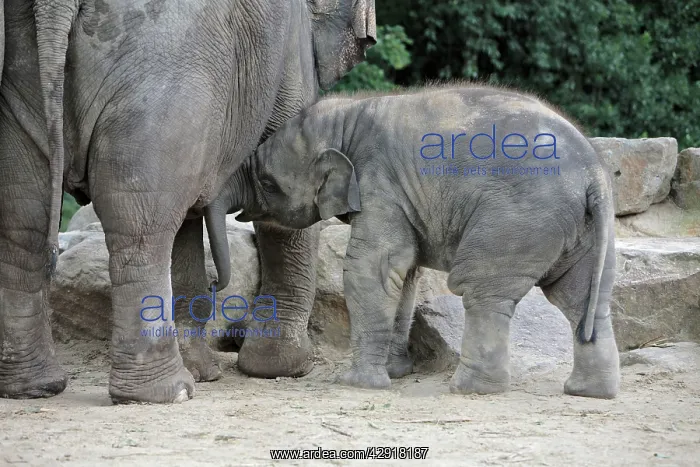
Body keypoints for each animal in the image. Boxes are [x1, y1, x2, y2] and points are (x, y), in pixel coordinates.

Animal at [0, 0, 375, 403]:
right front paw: (285, 368)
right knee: (139, 227)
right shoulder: (290, 56)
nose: (215, 285)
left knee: (24, 220)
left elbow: (186, 221)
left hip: (24, 78)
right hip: (164, 75)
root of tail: (52, 6)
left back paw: (34, 387)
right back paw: (166, 391)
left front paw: (208, 370)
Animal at [206, 85, 621, 399]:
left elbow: (370, 269)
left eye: (267, 181)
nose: (213, 283)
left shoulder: (380, 183)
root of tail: (595, 175)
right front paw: (396, 372)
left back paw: (471, 389)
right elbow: (404, 275)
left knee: (483, 291)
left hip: (516, 222)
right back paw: (588, 392)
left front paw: (358, 384)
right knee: (583, 299)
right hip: (581, 230)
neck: (348, 115)